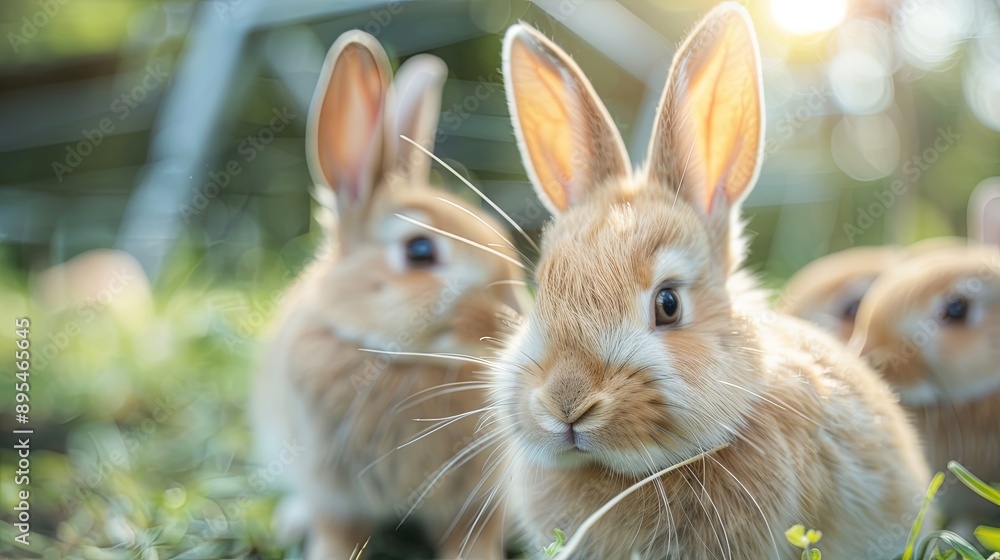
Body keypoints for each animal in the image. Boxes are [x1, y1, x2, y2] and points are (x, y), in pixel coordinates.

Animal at [250, 30, 525, 560]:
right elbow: (337, 536)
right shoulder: (332, 491)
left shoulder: (478, 498)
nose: (512, 322)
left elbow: (475, 538)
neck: (403, 363)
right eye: (419, 251)